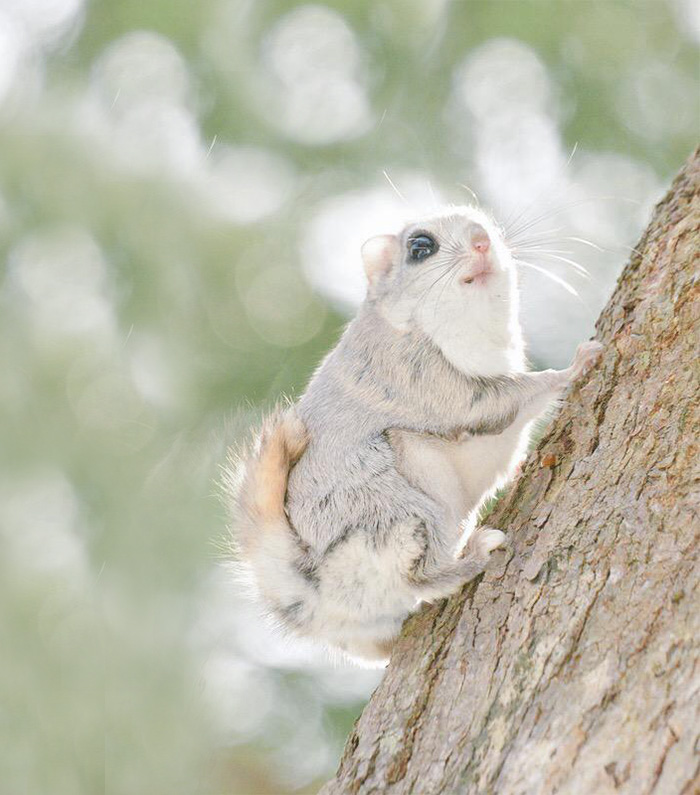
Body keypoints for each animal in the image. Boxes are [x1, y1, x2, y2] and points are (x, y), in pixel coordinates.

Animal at [225, 206, 603, 665]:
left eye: (489, 225)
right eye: (421, 248)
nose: (482, 242)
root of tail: (311, 588)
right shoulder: (418, 376)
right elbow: (497, 400)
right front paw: (574, 366)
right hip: (404, 513)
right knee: (421, 577)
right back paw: (472, 555)